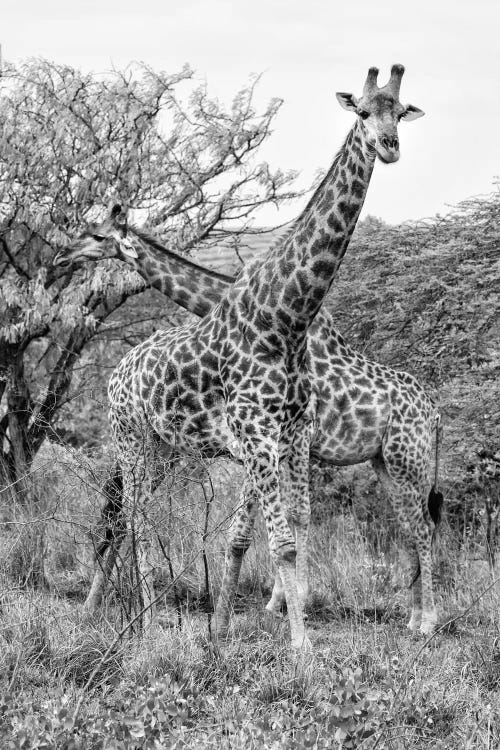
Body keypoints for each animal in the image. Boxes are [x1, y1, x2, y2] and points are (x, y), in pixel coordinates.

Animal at [57, 64, 426, 648]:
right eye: (364, 112)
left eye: (400, 112)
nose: (389, 146)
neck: (285, 316)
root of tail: (115, 373)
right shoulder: (255, 437)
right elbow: (270, 537)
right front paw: (282, 637)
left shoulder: (286, 436)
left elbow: (278, 531)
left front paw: (243, 625)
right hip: (137, 439)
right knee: (130, 515)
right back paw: (140, 618)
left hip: (389, 458)